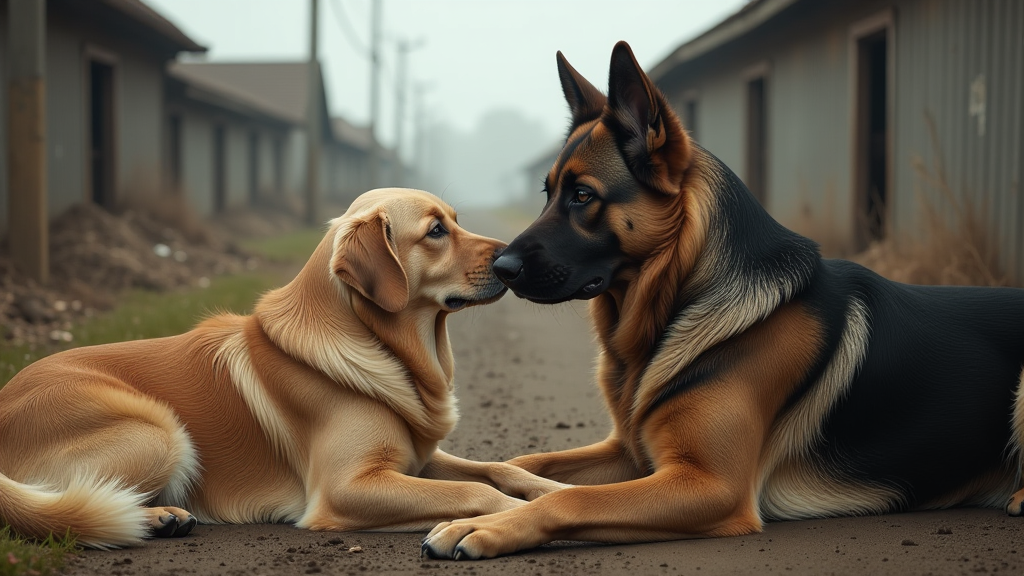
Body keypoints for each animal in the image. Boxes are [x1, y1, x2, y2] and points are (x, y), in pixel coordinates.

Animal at [0, 188, 561, 545]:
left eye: (456, 219)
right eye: (436, 231)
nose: (511, 261)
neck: (380, 345)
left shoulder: (416, 458)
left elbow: (498, 468)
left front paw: (559, 492)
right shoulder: (347, 487)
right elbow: (475, 489)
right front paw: (516, 516)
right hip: (159, 431)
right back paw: (157, 515)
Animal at [419, 41, 1024, 557]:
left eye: (583, 196)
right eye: (547, 194)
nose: (501, 268)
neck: (677, 304)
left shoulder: (708, 483)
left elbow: (572, 498)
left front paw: (486, 525)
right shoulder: (631, 452)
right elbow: (528, 462)